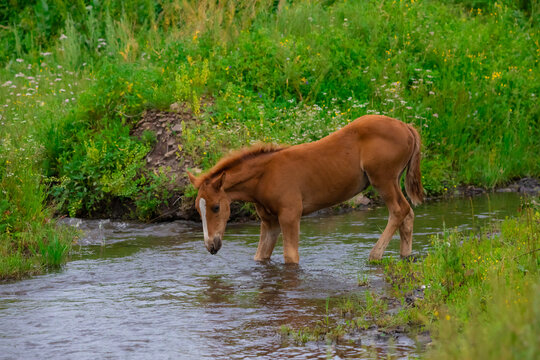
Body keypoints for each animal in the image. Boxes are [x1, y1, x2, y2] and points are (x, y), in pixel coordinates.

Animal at [188, 115, 424, 264]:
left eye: (216, 207)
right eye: (198, 210)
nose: (211, 245)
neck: (264, 177)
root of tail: (406, 126)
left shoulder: (290, 216)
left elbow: (291, 257)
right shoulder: (270, 221)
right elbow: (260, 256)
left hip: (383, 179)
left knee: (399, 210)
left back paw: (375, 255)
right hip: (392, 180)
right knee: (409, 214)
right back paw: (405, 256)